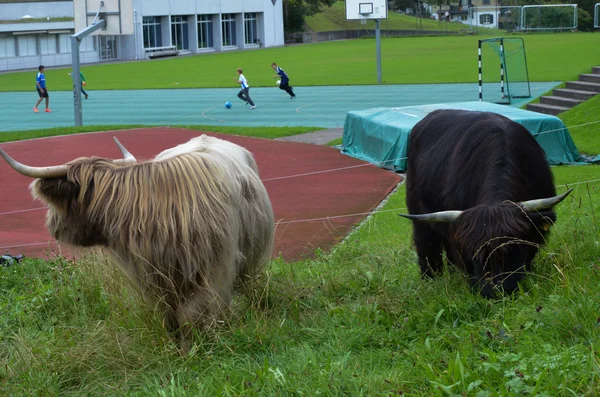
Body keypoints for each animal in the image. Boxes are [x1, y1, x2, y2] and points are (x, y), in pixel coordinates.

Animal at [398, 108, 572, 296]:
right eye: (474, 253)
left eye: (511, 249)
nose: (494, 293)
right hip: (419, 215)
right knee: (427, 248)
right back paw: (431, 282)